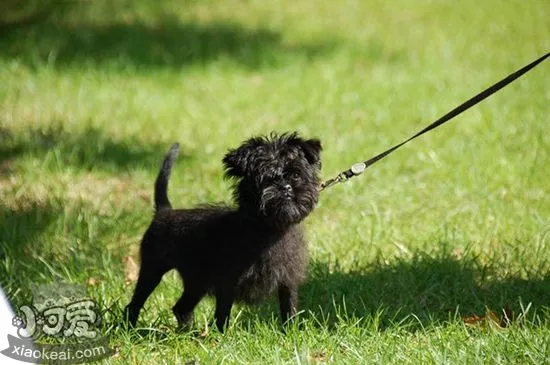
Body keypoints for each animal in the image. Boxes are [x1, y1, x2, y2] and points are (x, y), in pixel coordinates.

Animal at [125, 132, 324, 330]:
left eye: (296, 175)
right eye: (265, 178)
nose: (285, 187)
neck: (270, 229)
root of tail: (164, 211)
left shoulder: (287, 280)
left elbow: (289, 308)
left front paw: (290, 332)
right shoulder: (228, 282)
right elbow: (223, 314)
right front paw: (221, 335)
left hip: (197, 282)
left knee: (181, 308)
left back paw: (186, 332)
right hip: (153, 269)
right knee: (135, 303)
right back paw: (132, 329)